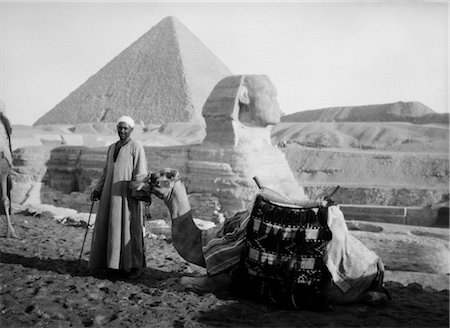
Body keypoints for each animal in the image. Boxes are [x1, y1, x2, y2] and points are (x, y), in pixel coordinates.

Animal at [130, 169, 390, 308]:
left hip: (345, 286)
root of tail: (378, 263)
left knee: (373, 296)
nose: (136, 182)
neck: (204, 241)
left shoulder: (221, 280)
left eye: (157, 177)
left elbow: (183, 280)